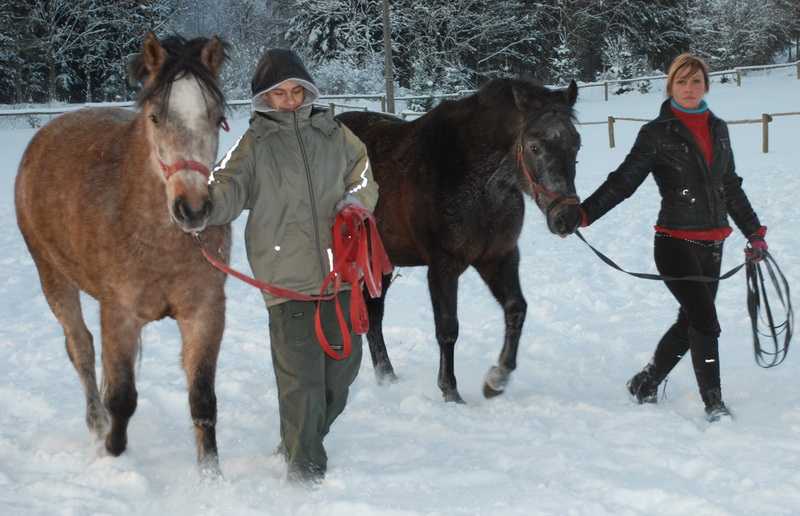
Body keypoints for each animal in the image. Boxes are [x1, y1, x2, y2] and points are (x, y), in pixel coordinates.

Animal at [14, 31, 231, 476]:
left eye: (217, 118)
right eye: (154, 118)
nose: (193, 210)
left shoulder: (205, 312)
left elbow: (202, 400)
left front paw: (212, 477)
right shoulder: (120, 313)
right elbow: (123, 397)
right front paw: (111, 453)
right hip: (52, 277)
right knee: (81, 348)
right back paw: (97, 425)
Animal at [338, 79, 580, 404]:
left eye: (576, 143)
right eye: (535, 147)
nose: (567, 217)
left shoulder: (499, 258)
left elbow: (516, 310)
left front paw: (496, 380)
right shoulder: (443, 266)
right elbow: (447, 328)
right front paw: (450, 392)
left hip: (380, 260)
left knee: (374, 314)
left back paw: (387, 378)